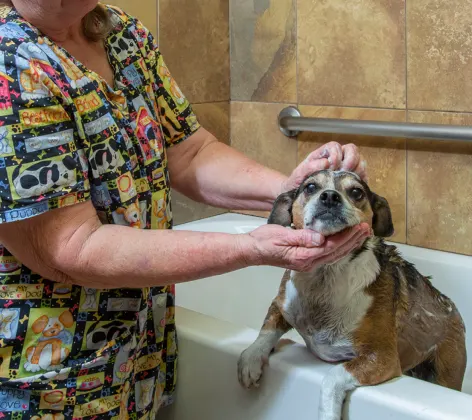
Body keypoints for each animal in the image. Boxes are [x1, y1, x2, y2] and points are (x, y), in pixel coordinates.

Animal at [238, 170, 466, 420]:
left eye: (356, 192)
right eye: (310, 187)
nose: (329, 196)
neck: (325, 278)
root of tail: (452, 308)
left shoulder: (382, 358)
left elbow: (332, 377)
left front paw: (328, 413)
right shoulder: (281, 304)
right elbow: (267, 330)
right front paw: (251, 358)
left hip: (447, 370)